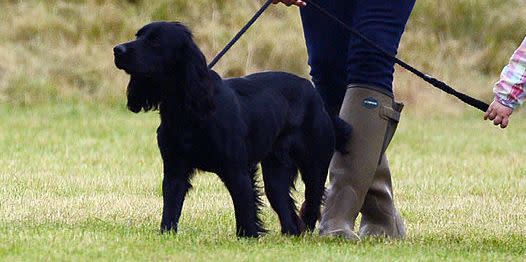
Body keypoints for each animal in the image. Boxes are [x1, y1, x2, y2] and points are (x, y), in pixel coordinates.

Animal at [116, 22, 354, 237]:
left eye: (155, 41)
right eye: (138, 35)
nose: (117, 50)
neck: (188, 110)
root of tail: (317, 97)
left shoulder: (236, 169)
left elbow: (244, 207)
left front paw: (247, 237)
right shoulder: (175, 168)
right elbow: (171, 207)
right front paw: (166, 234)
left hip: (314, 165)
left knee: (312, 203)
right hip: (276, 173)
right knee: (285, 208)